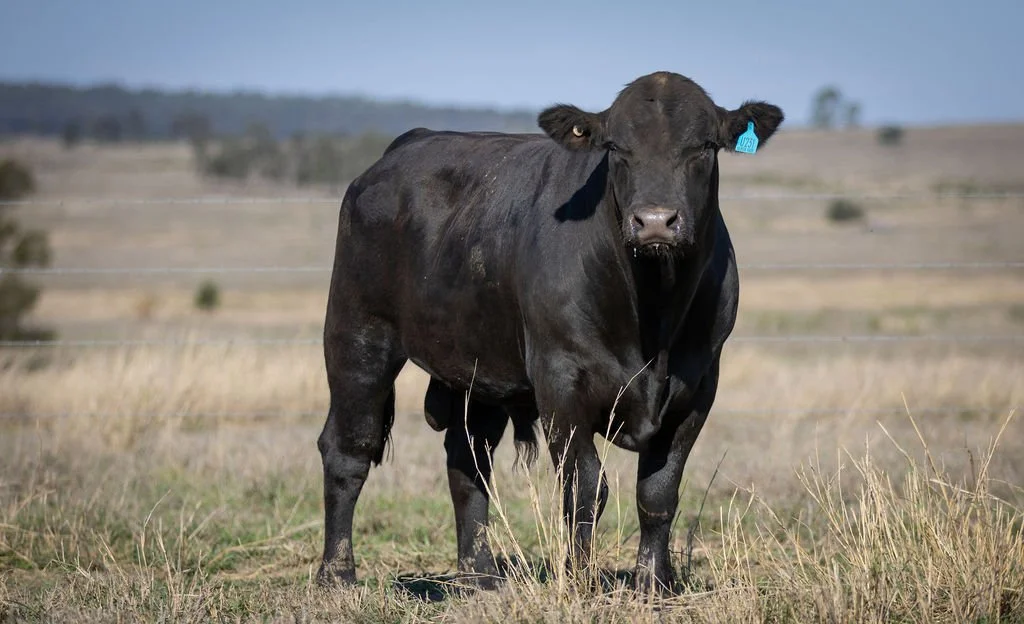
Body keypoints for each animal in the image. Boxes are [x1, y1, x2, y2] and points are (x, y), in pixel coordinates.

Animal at [316, 70, 784, 592]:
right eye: (615, 147)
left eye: (703, 145)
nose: (655, 221)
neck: (653, 315)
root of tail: (405, 146)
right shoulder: (561, 381)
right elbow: (584, 488)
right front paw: (579, 581)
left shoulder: (699, 386)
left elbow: (658, 492)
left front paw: (653, 584)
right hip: (357, 336)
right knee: (347, 449)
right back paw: (337, 574)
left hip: (476, 368)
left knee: (468, 461)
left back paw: (480, 574)